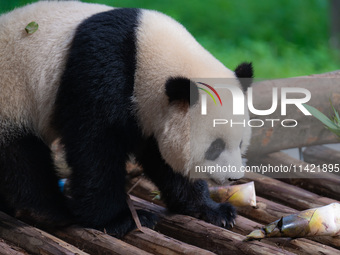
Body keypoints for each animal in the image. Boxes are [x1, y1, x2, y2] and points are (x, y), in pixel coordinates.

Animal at [0, 1, 252, 237]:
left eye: (240, 143)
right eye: (215, 147)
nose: (233, 178)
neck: (142, 51)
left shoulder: (147, 115)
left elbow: (162, 159)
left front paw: (214, 211)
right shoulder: (99, 71)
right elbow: (94, 148)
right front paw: (121, 220)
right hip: (12, 99)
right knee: (21, 160)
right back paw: (49, 210)